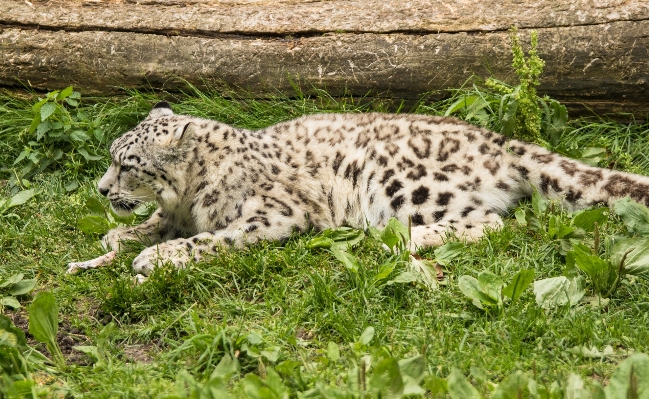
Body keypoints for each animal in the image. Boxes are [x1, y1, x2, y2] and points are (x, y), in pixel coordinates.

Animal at [96, 101, 648, 276]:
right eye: (113, 158)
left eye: (127, 164)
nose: (101, 190)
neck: (191, 195)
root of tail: (497, 140)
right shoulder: (177, 212)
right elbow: (156, 223)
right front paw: (121, 238)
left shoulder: (274, 212)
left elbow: (217, 237)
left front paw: (158, 258)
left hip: (404, 187)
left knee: (493, 223)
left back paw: (406, 239)